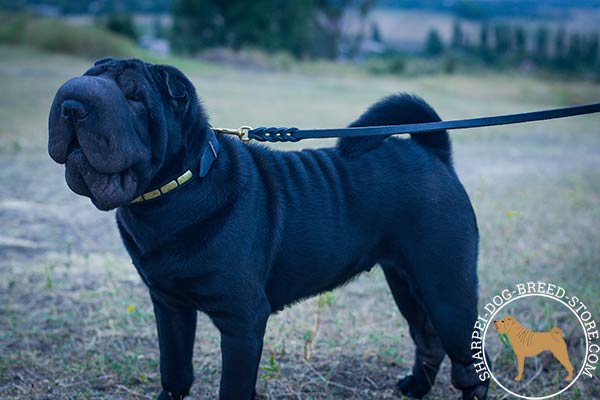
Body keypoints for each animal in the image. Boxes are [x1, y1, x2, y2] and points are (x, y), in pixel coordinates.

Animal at [48, 58, 488, 400]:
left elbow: (233, 387)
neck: (173, 190)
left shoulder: (242, 320)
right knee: (427, 340)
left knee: (467, 360)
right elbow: (175, 371)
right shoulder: (170, 306)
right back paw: (415, 387)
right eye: (91, 75)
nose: (71, 105)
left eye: (134, 97)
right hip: (405, 283)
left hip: (446, 286)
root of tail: (432, 151)